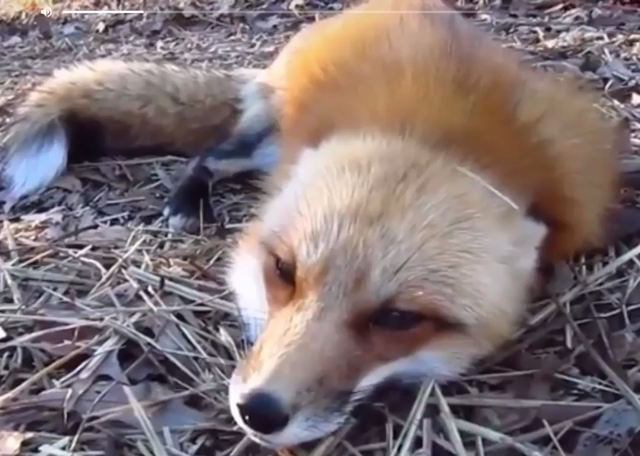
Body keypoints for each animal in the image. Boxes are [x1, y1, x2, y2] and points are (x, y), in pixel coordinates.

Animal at [0, 0, 626, 449]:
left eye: (398, 319)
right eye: (283, 270)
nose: (258, 411)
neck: (437, 133)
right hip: (266, 142)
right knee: (208, 155)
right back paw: (186, 201)